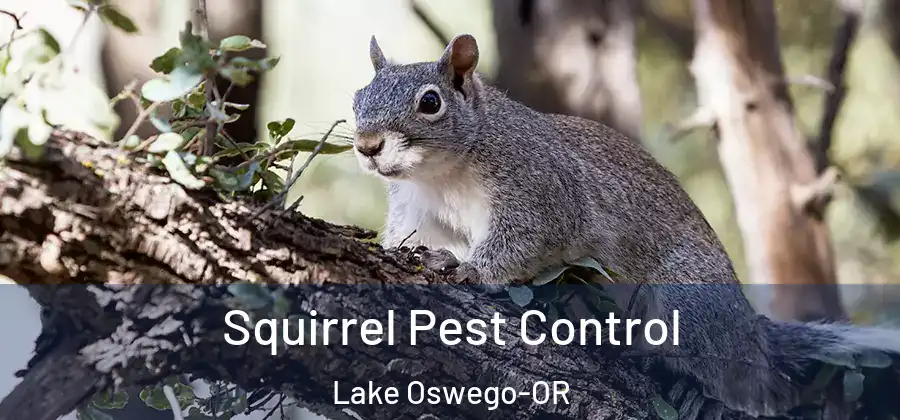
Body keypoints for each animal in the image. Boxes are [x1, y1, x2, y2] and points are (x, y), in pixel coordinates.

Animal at [351, 34, 900, 418]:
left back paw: (699, 389)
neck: (442, 173)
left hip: (689, 301)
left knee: (744, 385)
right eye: (358, 97)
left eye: (430, 102)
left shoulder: (544, 191)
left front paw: (471, 270)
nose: (367, 146)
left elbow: (524, 241)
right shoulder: (419, 211)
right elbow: (412, 238)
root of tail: (750, 333)